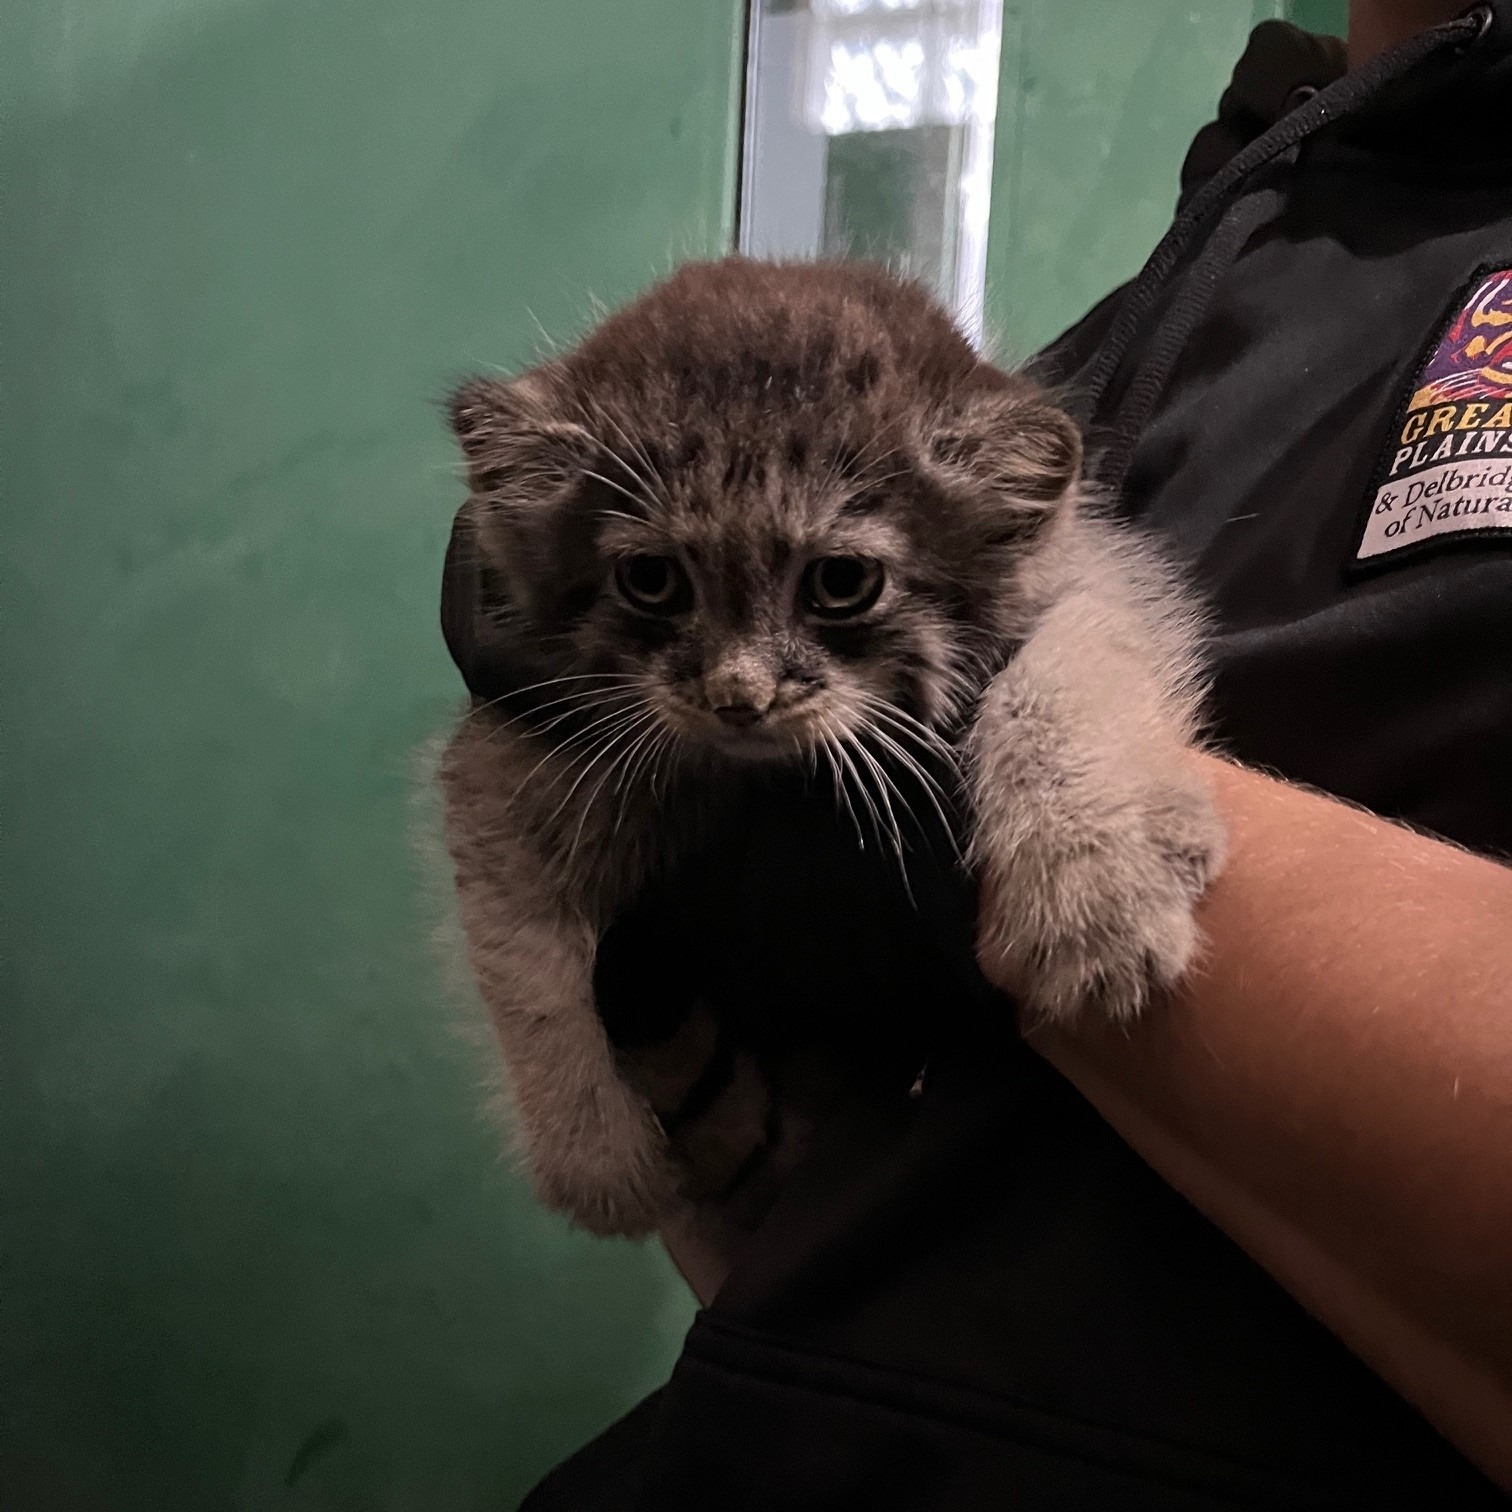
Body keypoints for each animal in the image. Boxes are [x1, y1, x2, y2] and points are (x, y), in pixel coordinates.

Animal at [441, 260, 1221, 1233]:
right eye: (651, 579)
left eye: (841, 582)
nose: (739, 696)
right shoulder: (513, 734)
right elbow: (521, 950)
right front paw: (588, 1149)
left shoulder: (1099, 581)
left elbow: (1061, 683)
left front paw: (1092, 893)